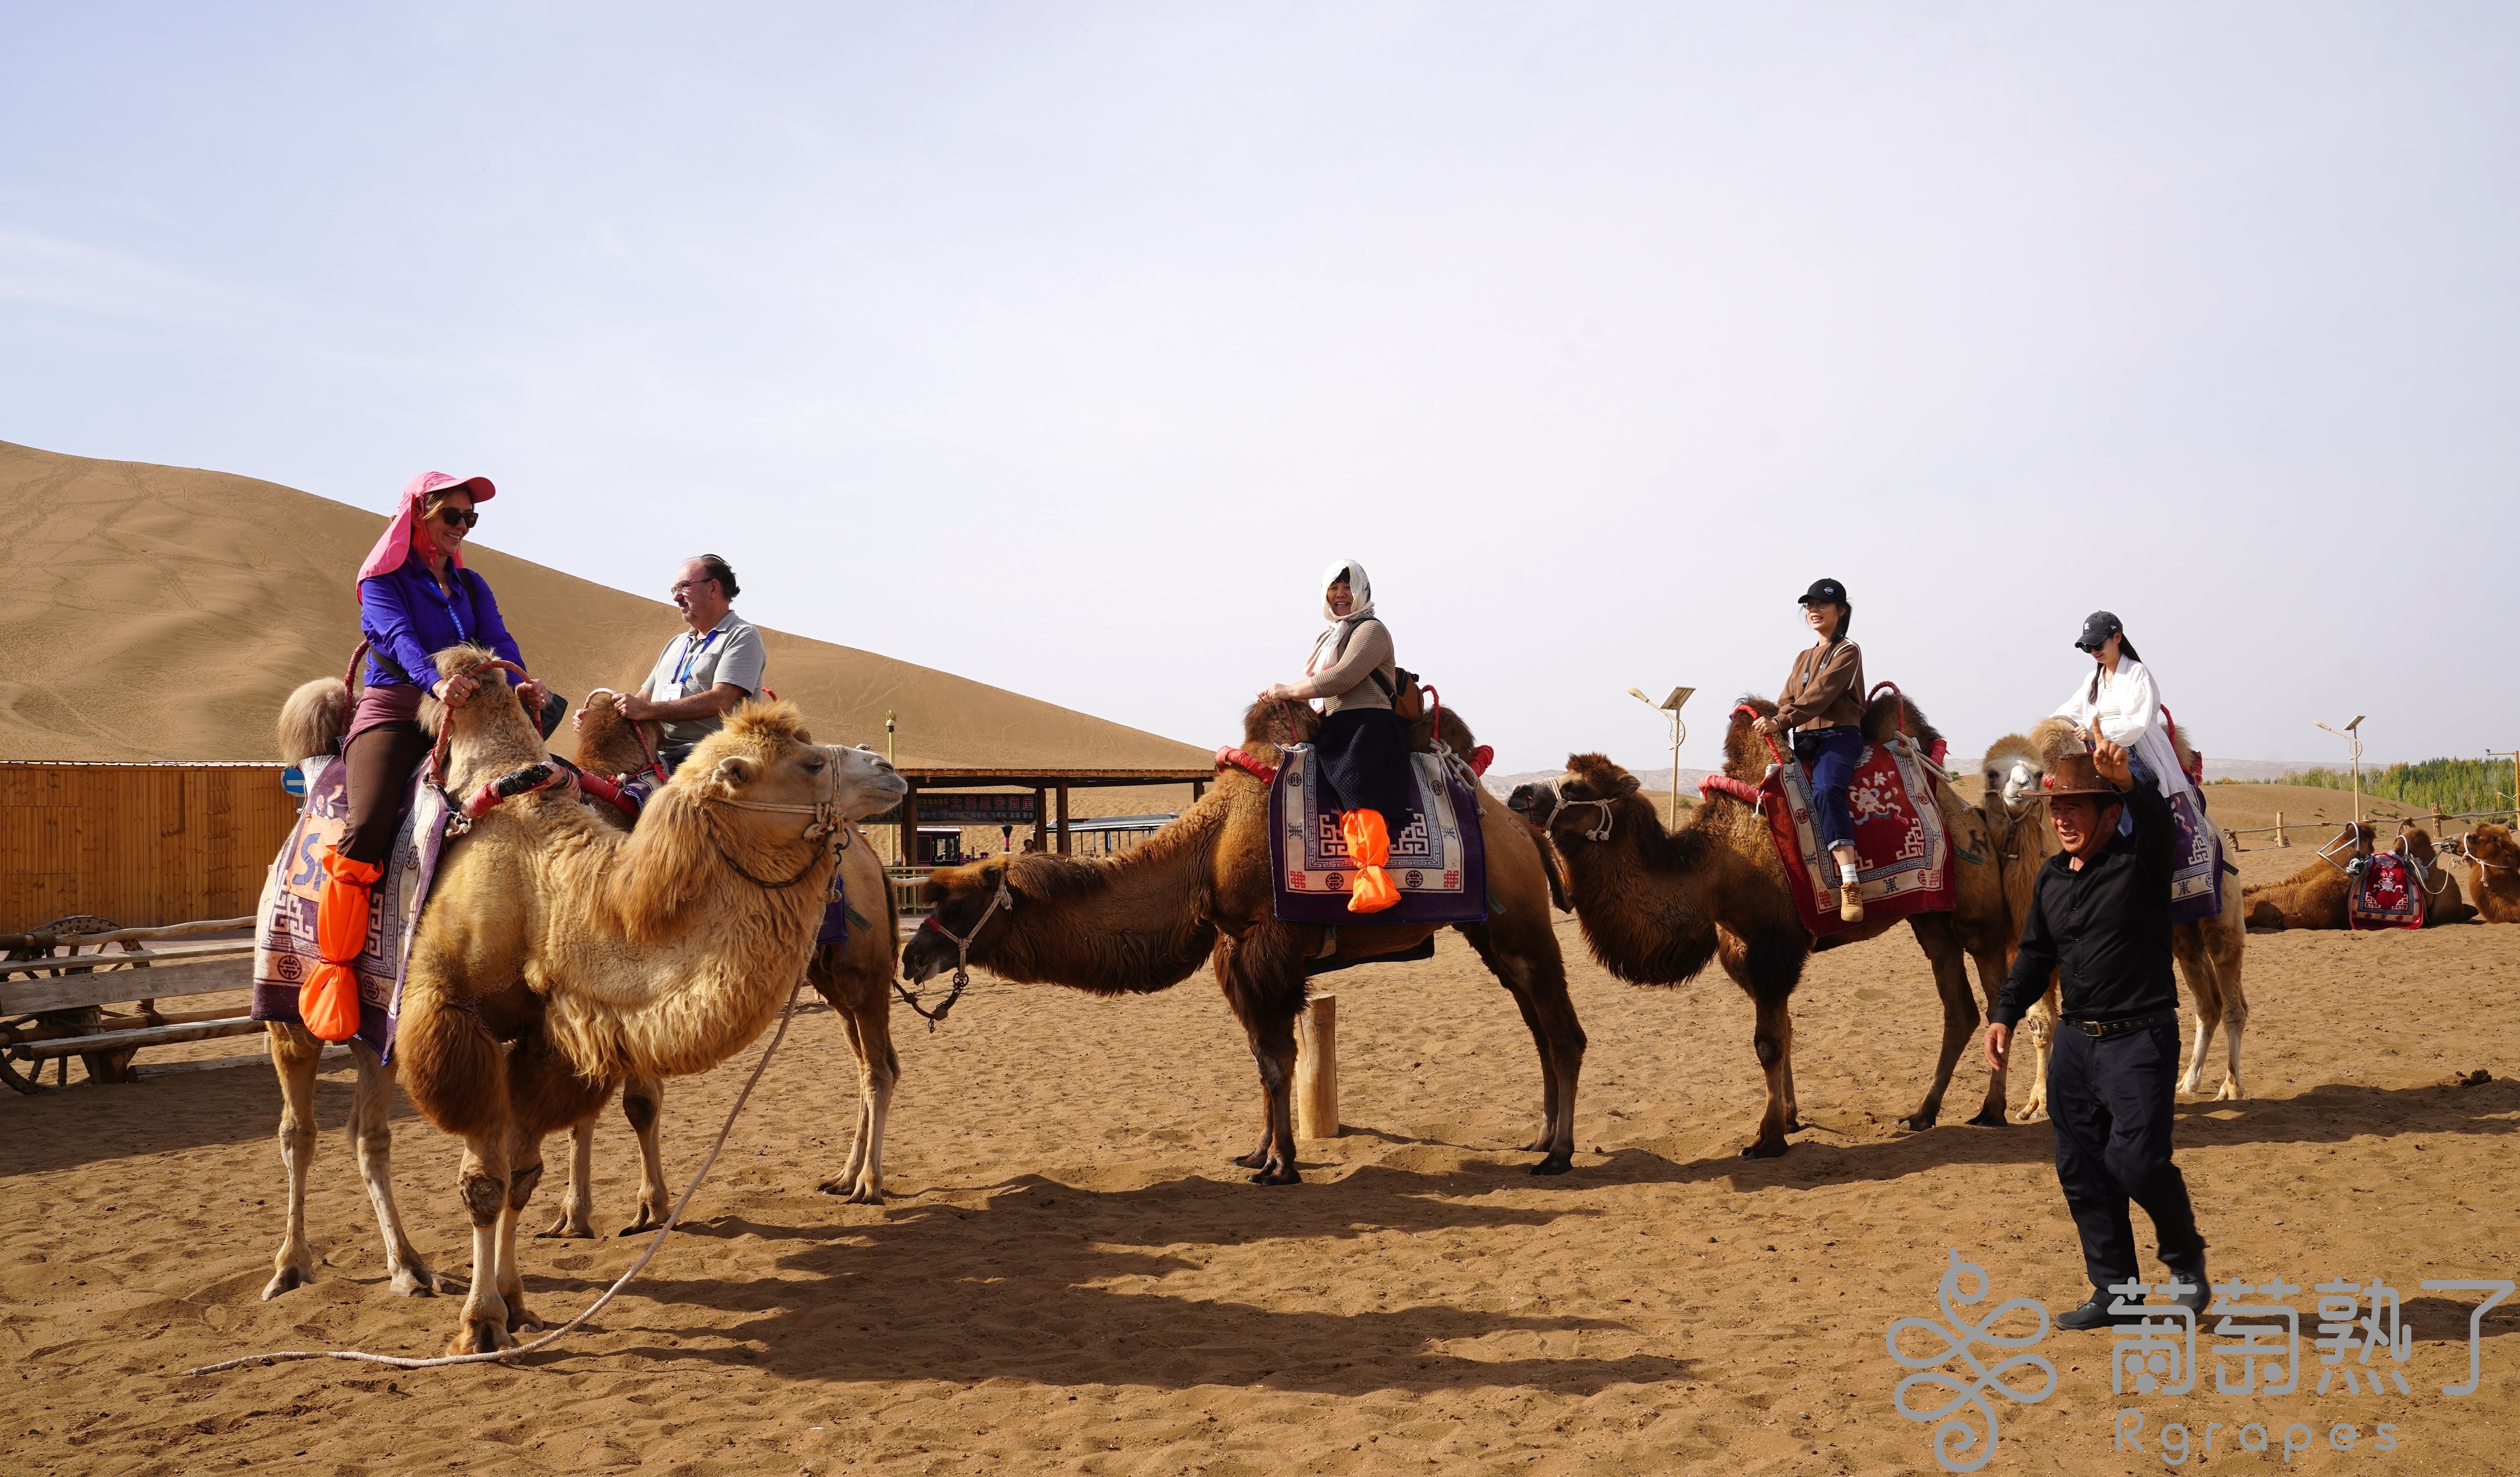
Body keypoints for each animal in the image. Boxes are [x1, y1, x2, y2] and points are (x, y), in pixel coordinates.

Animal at [378, 644, 900, 1353]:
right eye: (811, 762)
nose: (889, 767)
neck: (549, 887)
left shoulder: (544, 1033)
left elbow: (527, 1168)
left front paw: (504, 1308)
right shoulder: (464, 1017)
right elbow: (497, 1181)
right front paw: (493, 1317)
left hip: (858, 977)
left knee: (875, 1068)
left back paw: (864, 1181)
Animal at [903, 698, 1583, 1185]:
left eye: (956, 904)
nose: (911, 956)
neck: (1204, 859)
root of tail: (1523, 828)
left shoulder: (1270, 952)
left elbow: (1278, 1062)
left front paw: (1282, 1167)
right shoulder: (1236, 956)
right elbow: (1262, 1061)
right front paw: (1258, 1154)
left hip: (1522, 925)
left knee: (1563, 1034)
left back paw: (1558, 1155)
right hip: (1493, 935)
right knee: (1538, 1030)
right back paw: (1540, 1138)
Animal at [1529, 692, 2019, 1159]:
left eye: (1576, 785)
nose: (1520, 796)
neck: (1713, 868)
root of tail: (1972, 812)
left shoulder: (1774, 945)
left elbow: (1768, 1043)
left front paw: (1767, 1139)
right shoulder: (1743, 948)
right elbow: (1785, 1032)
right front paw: (1789, 1119)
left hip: (1977, 918)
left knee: (1996, 998)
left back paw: (1992, 1110)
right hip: (1930, 917)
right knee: (1959, 1008)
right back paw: (1922, 1113)